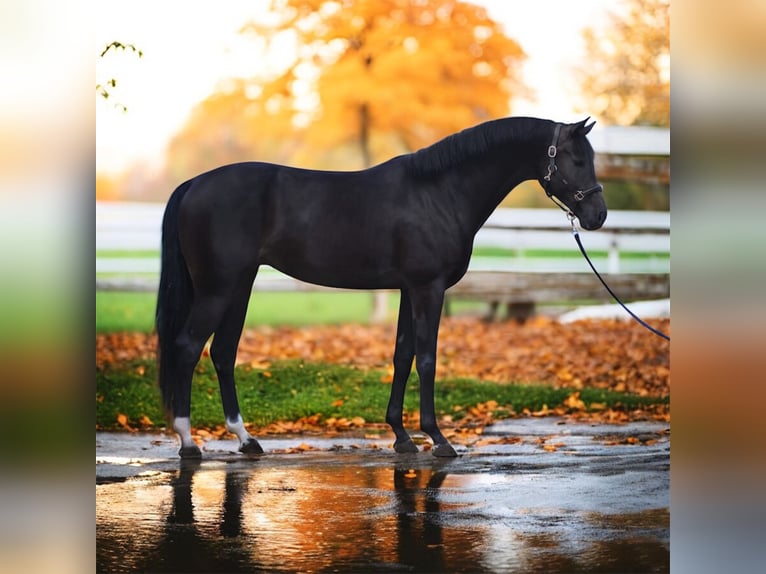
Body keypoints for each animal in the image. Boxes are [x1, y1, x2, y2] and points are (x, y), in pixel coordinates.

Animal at [156, 116, 606, 458]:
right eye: (577, 159)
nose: (598, 215)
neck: (438, 192)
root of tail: (193, 184)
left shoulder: (409, 290)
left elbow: (402, 355)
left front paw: (402, 436)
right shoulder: (428, 289)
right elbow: (427, 358)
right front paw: (438, 439)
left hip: (239, 285)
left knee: (222, 352)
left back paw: (246, 439)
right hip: (218, 289)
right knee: (188, 348)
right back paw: (188, 442)